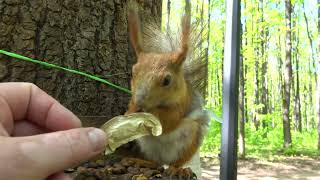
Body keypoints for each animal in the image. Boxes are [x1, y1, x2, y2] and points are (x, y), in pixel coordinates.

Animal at [124, 0, 209, 174]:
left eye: (167, 80)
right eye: (133, 72)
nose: (140, 103)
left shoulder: (179, 107)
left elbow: (168, 120)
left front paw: (149, 115)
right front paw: (129, 113)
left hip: (191, 137)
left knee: (175, 162)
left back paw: (177, 169)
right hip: (146, 145)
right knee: (155, 162)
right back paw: (140, 161)